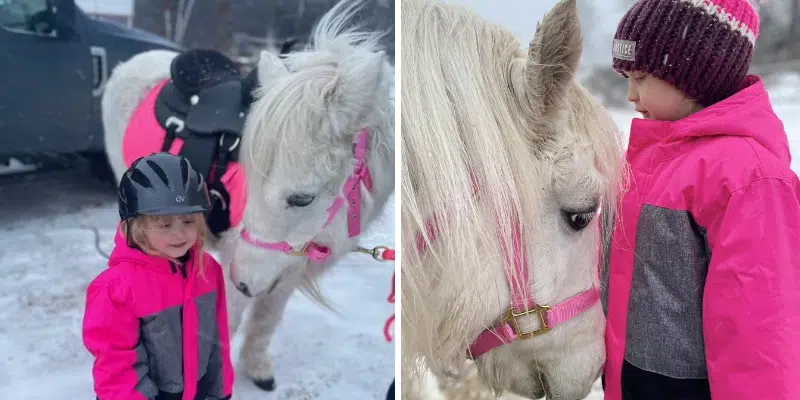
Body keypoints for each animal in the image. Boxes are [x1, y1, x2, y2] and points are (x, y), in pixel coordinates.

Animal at [101, 0, 396, 390]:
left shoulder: (285, 266)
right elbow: (228, 322)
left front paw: (256, 367)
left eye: (302, 199)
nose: (242, 281)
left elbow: (266, 319)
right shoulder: (239, 255)